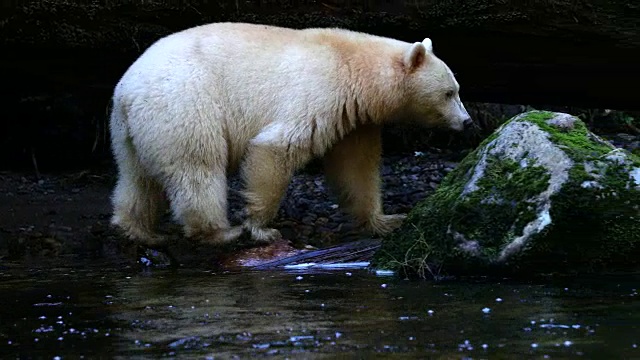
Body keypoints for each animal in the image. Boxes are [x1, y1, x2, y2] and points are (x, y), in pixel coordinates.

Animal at [107, 21, 472, 248]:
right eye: (449, 92)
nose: (467, 122)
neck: (355, 67)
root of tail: (127, 91)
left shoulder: (356, 118)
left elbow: (356, 168)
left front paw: (387, 220)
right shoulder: (322, 89)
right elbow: (277, 146)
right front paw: (260, 227)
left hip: (133, 130)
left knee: (137, 178)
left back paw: (138, 230)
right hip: (185, 104)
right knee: (197, 167)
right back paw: (220, 232)